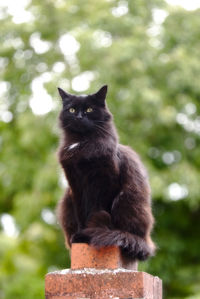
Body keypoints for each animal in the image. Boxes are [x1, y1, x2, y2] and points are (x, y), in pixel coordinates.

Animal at [57, 85, 155, 262]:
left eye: (89, 109)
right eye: (72, 109)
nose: (79, 117)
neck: (82, 144)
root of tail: (147, 242)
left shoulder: (106, 181)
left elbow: (98, 210)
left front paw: (90, 233)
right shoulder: (75, 184)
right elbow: (81, 213)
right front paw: (80, 237)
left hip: (125, 198)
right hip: (67, 199)